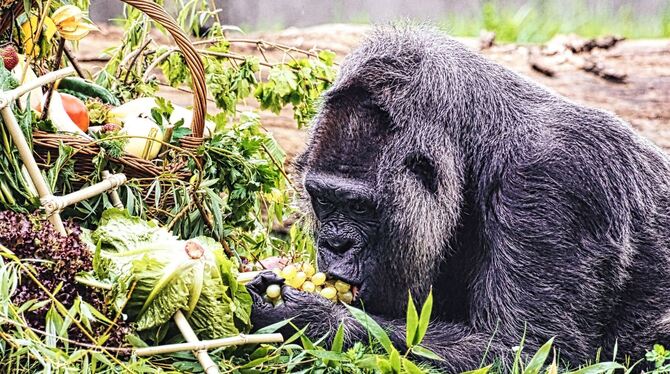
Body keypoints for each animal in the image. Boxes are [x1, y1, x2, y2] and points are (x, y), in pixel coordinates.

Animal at [249, 26, 670, 372]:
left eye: (358, 206)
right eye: (324, 200)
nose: (334, 244)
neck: (478, 145)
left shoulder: (555, 183)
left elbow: (530, 353)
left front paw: (306, 316)